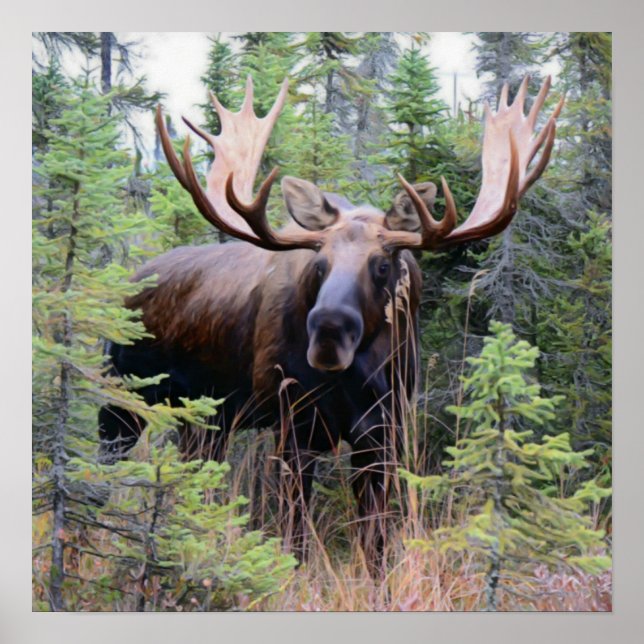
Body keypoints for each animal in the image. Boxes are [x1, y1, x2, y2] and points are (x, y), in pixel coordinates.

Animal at [98, 75, 562, 571]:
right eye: (319, 263)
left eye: (383, 264)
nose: (327, 333)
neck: (357, 378)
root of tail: (127, 280)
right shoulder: (295, 423)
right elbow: (296, 537)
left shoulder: (383, 431)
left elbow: (375, 540)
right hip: (122, 399)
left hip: (204, 418)